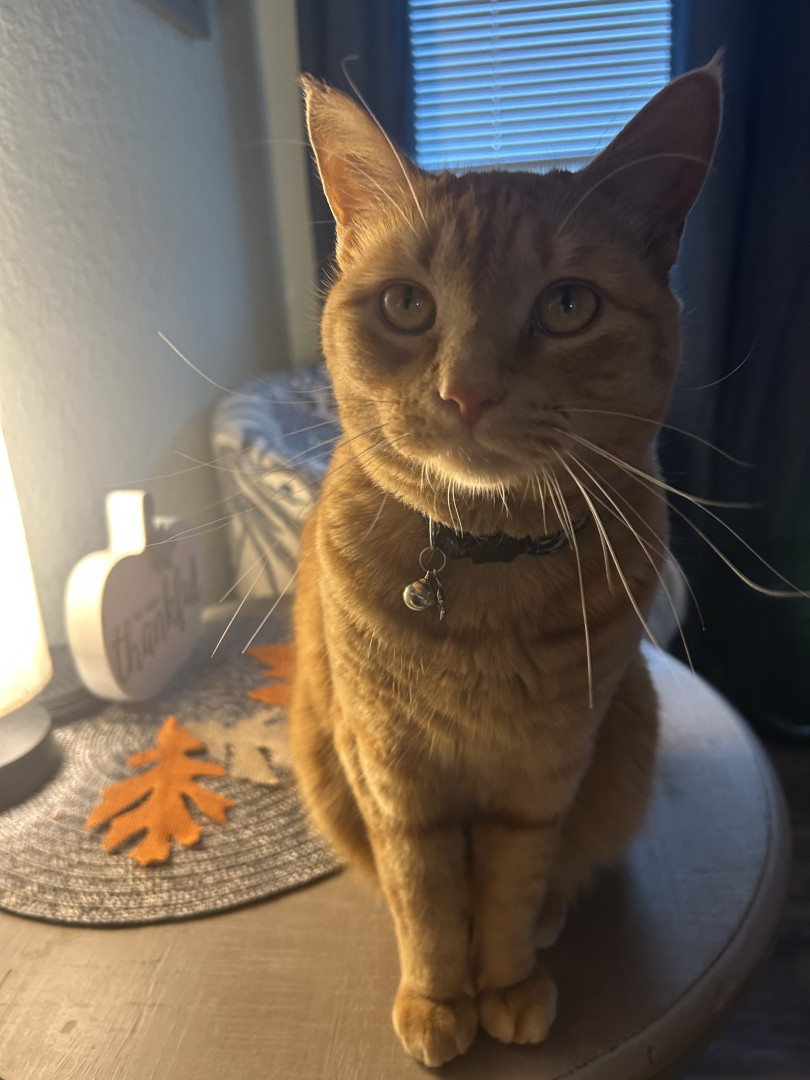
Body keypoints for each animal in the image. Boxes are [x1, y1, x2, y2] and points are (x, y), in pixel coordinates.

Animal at [288, 58, 722, 1067]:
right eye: (408, 304)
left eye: (568, 305)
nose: (468, 390)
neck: (484, 567)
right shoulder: (392, 772)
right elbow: (424, 896)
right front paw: (439, 997)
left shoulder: (546, 772)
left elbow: (513, 886)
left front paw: (509, 982)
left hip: (627, 733)